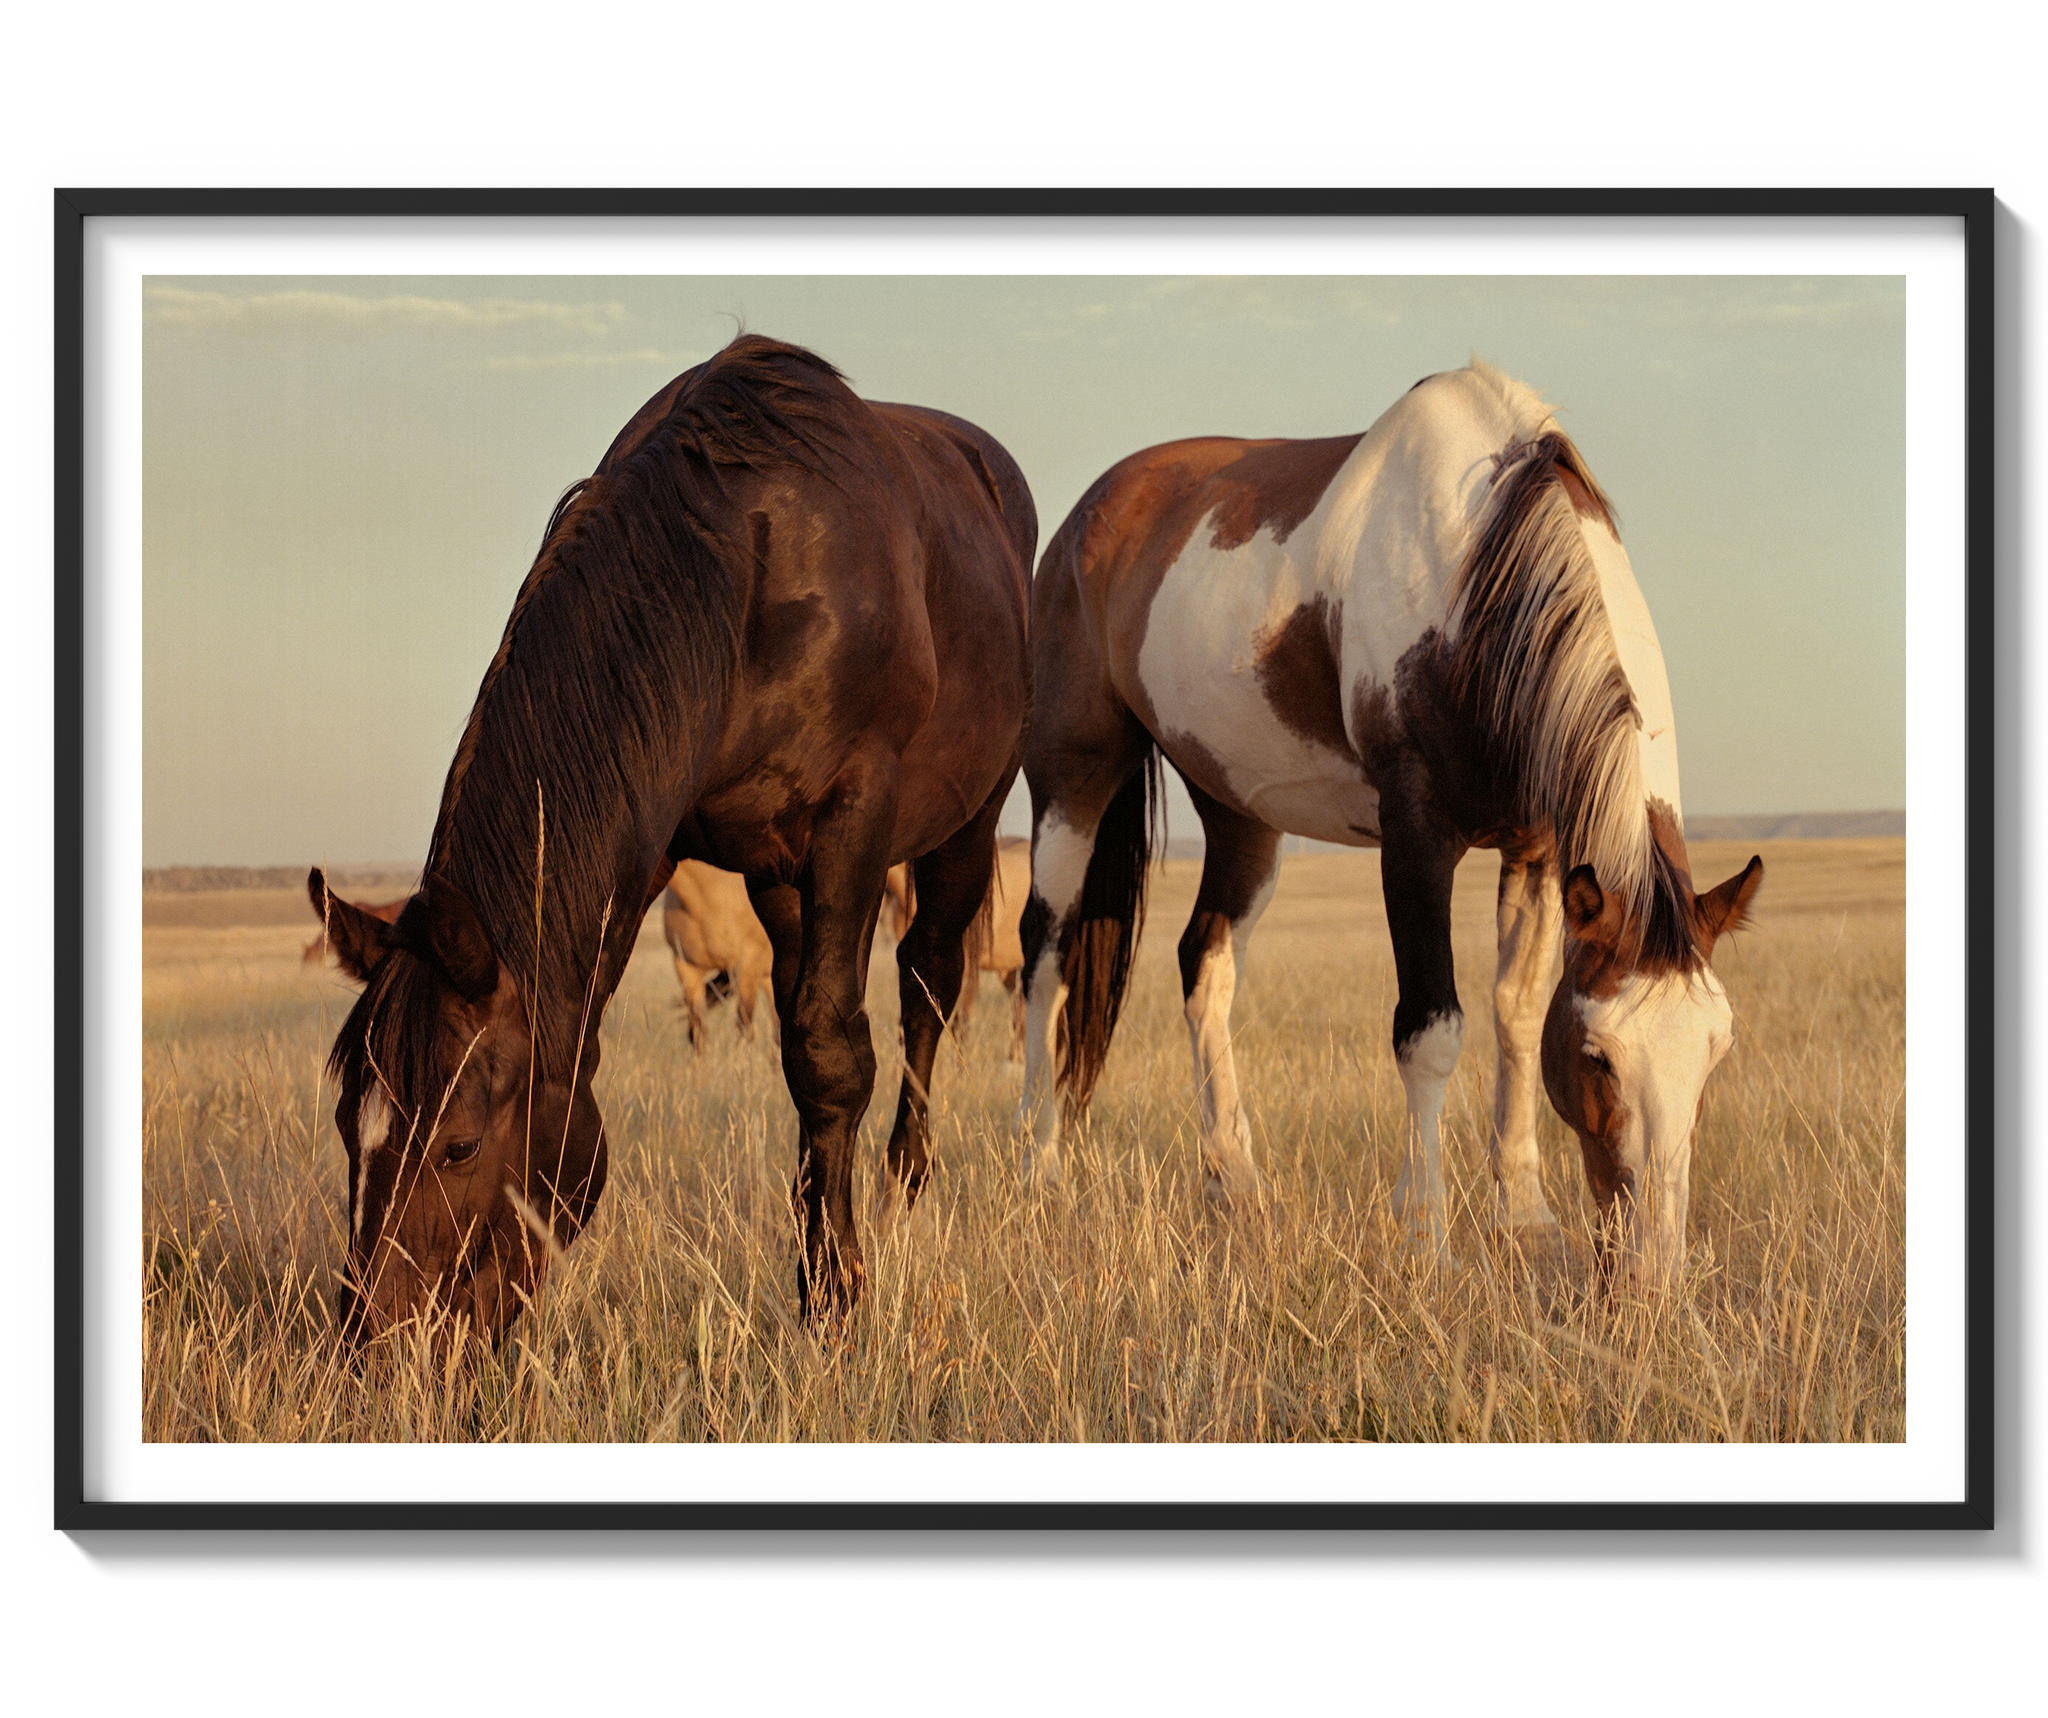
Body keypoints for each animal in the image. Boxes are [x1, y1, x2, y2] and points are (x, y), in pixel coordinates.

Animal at [1024, 360, 1761, 1294]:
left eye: (1716, 1051)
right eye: (1598, 1056)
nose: (1652, 1273)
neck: (1474, 572)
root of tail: (1087, 517)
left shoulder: (1537, 849)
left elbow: (1517, 1013)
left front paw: (1524, 1214)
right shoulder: (1416, 836)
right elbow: (1431, 1030)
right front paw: (1426, 1239)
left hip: (1240, 814)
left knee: (1205, 963)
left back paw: (1236, 1184)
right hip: (1071, 783)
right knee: (1045, 955)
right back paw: (1040, 1169)